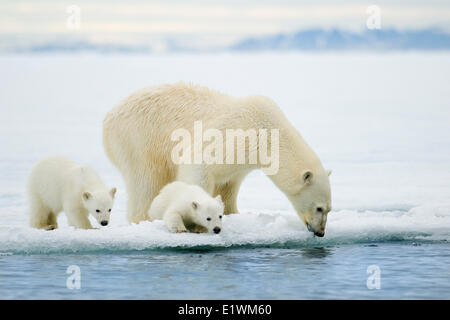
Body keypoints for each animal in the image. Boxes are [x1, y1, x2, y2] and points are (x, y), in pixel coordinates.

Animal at [103, 83, 332, 238]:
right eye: (319, 208)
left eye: (329, 209)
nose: (320, 232)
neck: (266, 129)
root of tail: (109, 117)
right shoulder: (233, 135)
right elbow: (197, 165)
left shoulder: (242, 159)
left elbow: (229, 185)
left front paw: (232, 213)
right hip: (139, 139)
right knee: (146, 181)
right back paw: (144, 218)